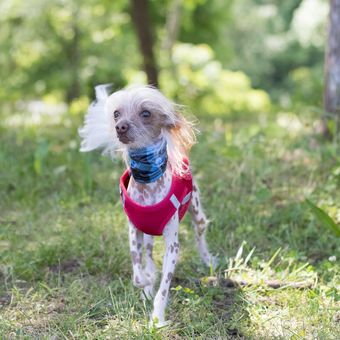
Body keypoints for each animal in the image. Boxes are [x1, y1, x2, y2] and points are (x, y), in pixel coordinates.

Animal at [79, 84, 215, 326]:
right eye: (116, 114)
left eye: (146, 113)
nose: (120, 126)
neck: (147, 183)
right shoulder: (134, 231)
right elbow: (137, 271)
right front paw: (145, 283)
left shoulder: (173, 245)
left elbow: (164, 287)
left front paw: (157, 318)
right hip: (149, 235)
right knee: (150, 255)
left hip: (197, 214)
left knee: (200, 236)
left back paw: (207, 260)